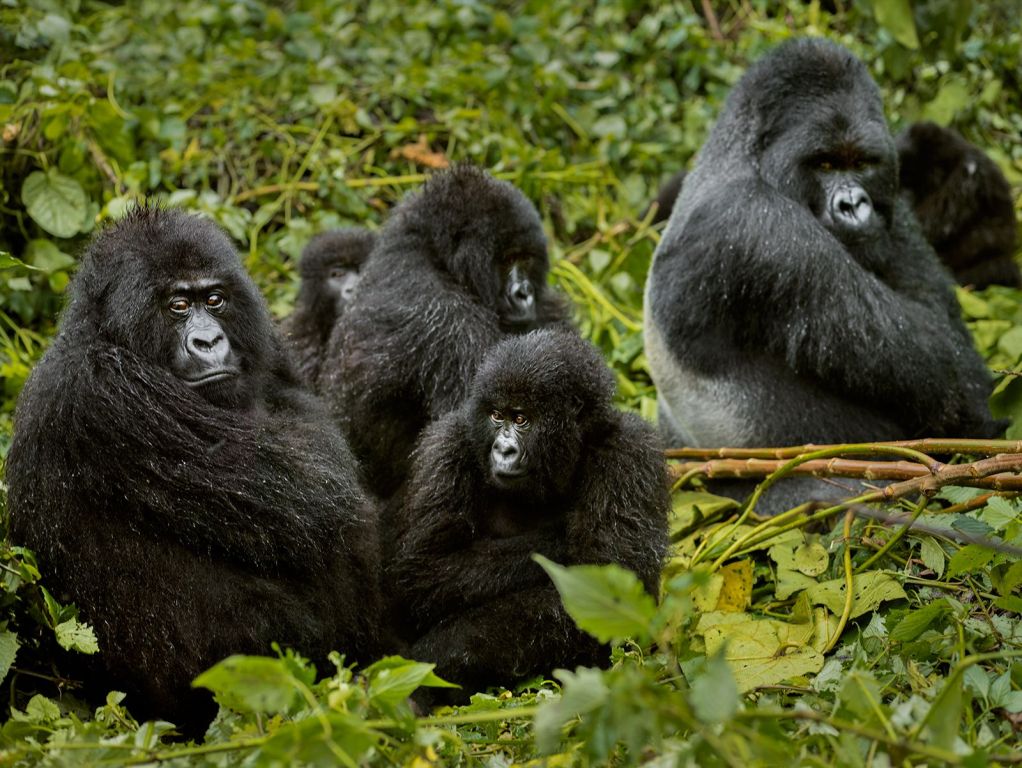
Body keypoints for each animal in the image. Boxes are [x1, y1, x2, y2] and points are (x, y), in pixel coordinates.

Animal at [386, 327, 666, 699]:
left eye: (521, 419)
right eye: (496, 416)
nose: (503, 450)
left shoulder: (631, 453)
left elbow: (612, 597)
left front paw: (451, 649)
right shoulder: (446, 448)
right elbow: (424, 571)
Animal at [641, 39, 1001, 513]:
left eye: (862, 162)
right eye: (826, 164)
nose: (853, 205)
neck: (741, 159)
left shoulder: (893, 206)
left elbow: (940, 318)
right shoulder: (762, 230)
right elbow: (955, 385)